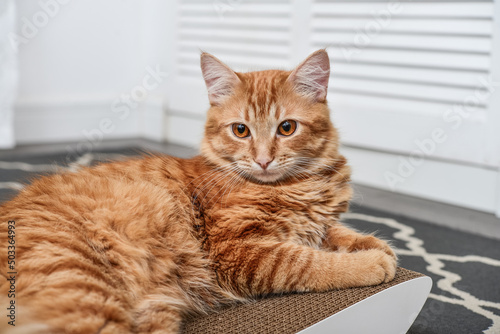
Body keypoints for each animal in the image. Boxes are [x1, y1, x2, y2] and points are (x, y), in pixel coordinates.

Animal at [0, 50, 398, 334]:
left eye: (286, 128)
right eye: (240, 130)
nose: (263, 159)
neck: (298, 185)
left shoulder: (316, 223)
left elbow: (338, 232)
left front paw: (377, 246)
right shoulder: (238, 251)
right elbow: (307, 261)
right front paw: (369, 263)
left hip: (154, 313)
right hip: (84, 290)